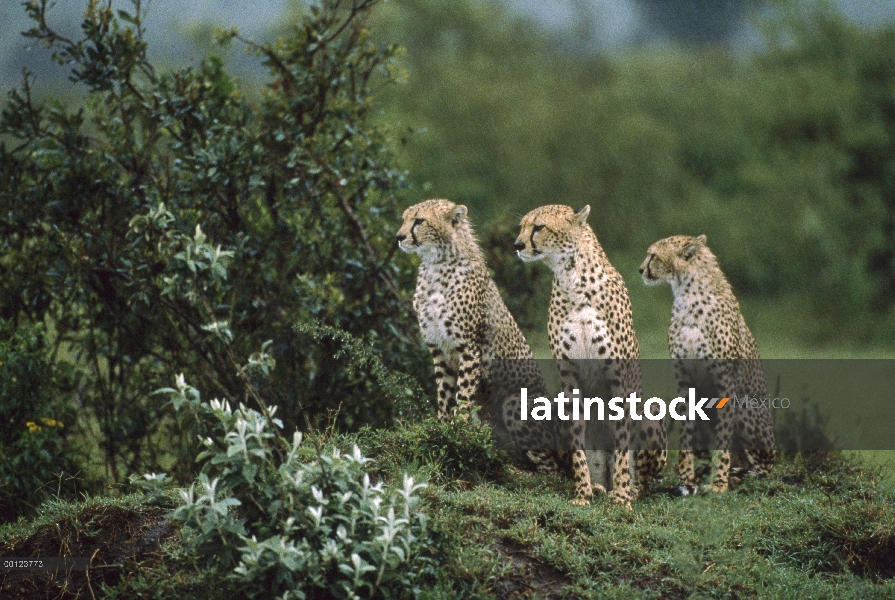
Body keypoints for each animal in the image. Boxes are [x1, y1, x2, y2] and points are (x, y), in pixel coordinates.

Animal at [516, 206, 668, 506]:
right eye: (522, 226)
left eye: (538, 227)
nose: (517, 245)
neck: (573, 279)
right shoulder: (569, 375)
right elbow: (577, 442)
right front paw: (582, 494)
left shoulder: (618, 377)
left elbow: (621, 444)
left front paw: (621, 499)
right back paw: (597, 487)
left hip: (650, 411)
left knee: (645, 480)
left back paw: (627, 490)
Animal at [636, 237, 776, 494]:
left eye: (653, 255)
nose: (641, 270)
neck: (687, 295)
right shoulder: (684, 379)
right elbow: (686, 435)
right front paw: (686, 478)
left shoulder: (725, 382)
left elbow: (723, 439)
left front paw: (718, 484)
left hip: (746, 406)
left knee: (761, 469)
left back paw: (735, 476)